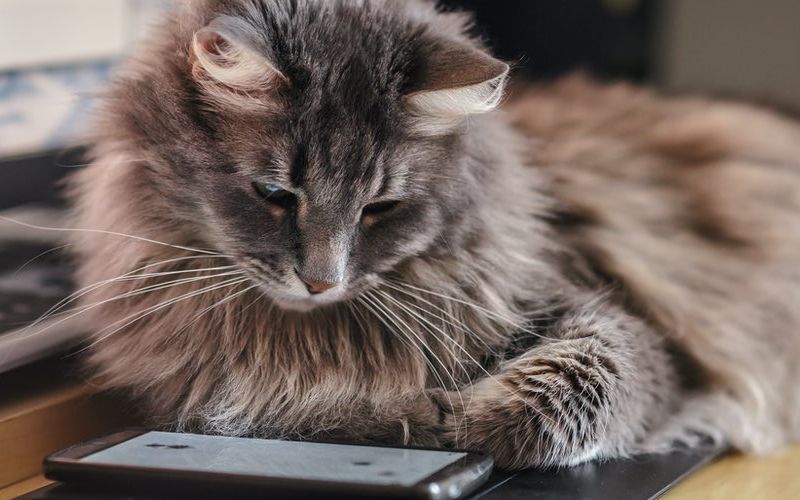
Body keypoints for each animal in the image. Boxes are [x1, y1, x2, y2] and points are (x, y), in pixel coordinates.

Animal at [65, 0, 800, 470]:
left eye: (381, 208)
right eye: (274, 196)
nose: (320, 281)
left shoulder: (619, 322)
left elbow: (560, 398)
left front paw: (445, 416)